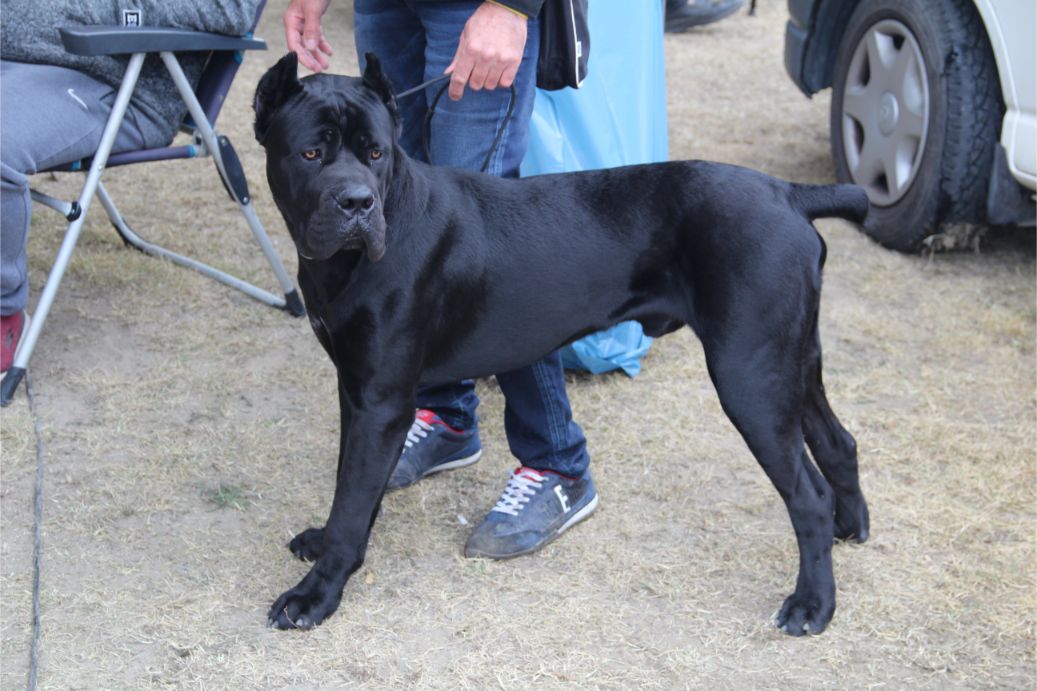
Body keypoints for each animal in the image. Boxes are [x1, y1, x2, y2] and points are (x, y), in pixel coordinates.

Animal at [253, 52, 870, 635]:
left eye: (377, 153)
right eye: (312, 153)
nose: (357, 203)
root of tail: (788, 193)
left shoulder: (381, 401)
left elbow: (354, 498)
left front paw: (316, 594)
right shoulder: (356, 388)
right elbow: (351, 484)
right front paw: (326, 542)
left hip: (748, 375)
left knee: (807, 496)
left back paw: (813, 604)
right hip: (791, 360)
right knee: (838, 442)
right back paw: (851, 527)